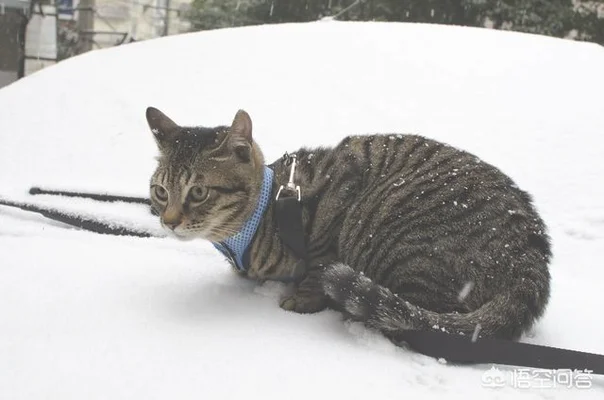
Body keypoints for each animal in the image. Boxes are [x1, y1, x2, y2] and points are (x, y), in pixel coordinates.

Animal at [146, 108, 552, 342]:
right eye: (161, 191)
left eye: (198, 191)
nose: (169, 221)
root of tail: (530, 261)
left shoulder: (338, 197)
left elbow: (319, 264)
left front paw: (303, 297)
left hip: (387, 228)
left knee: (417, 320)